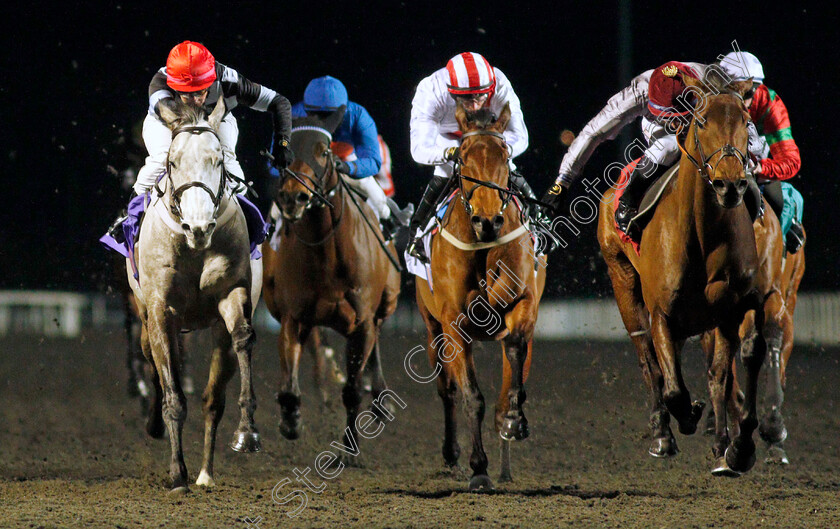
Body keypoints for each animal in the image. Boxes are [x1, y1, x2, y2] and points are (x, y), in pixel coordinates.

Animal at [125, 99, 260, 490]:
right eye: (172, 162)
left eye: (218, 160)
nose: (199, 226)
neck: (194, 247)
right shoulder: (159, 310)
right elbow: (171, 389)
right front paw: (175, 473)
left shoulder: (232, 292)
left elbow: (243, 337)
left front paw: (247, 432)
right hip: (145, 317)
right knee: (152, 360)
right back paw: (156, 425)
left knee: (213, 398)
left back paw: (205, 474)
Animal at [266, 109, 404, 452]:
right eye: (287, 149)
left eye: (323, 151)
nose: (294, 196)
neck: (327, 254)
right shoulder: (293, 317)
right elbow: (289, 387)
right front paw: (291, 421)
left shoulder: (362, 321)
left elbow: (352, 390)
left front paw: (350, 448)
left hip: (387, 302)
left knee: (376, 337)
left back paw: (380, 398)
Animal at [416, 104, 548, 490]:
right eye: (462, 156)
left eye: (505, 154)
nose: (488, 220)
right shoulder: (454, 324)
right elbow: (471, 396)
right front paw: (478, 468)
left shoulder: (524, 306)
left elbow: (515, 357)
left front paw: (512, 420)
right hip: (432, 327)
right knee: (447, 390)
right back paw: (452, 454)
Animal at [596, 77, 768, 474]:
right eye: (701, 121)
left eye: (745, 120)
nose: (730, 185)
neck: (702, 233)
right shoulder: (662, 312)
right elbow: (672, 386)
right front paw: (687, 414)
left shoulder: (740, 301)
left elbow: (744, 356)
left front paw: (740, 446)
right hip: (621, 278)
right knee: (649, 359)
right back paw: (663, 432)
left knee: (716, 371)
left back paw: (721, 442)